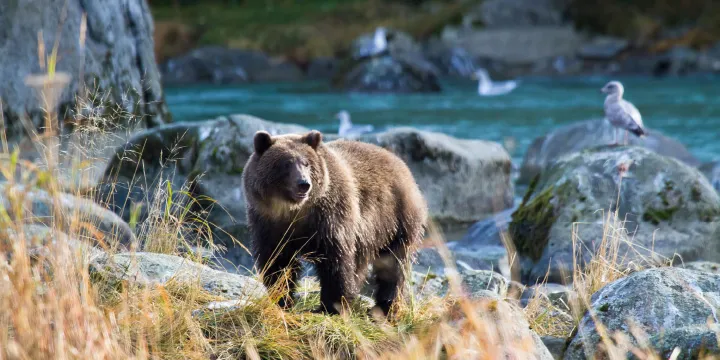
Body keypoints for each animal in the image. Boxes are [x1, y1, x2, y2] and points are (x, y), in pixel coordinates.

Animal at [245, 130, 428, 316]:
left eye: (306, 163)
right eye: (285, 164)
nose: (304, 184)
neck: (294, 211)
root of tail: (400, 163)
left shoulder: (330, 219)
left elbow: (335, 261)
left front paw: (331, 306)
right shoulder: (268, 224)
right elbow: (278, 262)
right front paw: (282, 300)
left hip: (395, 219)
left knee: (394, 265)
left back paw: (385, 306)